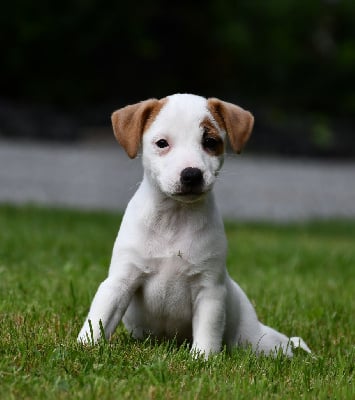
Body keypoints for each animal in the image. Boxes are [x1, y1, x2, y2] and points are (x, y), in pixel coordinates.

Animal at [76, 93, 310, 356]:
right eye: (162, 143)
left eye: (210, 141)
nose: (191, 174)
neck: (174, 218)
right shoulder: (120, 281)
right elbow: (100, 318)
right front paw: (84, 346)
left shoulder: (209, 291)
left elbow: (207, 332)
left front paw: (203, 359)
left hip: (257, 343)